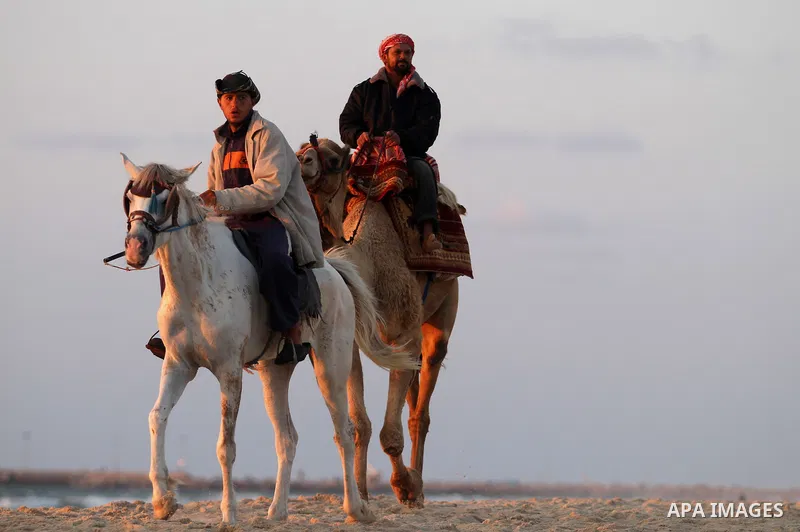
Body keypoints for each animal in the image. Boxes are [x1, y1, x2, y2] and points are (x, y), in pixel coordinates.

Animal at [295, 137, 468, 507]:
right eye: (301, 150)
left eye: (334, 160)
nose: (303, 161)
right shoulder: (354, 344)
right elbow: (360, 424)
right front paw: (360, 493)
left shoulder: (403, 333)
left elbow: (391, 433)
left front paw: (404, 486)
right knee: (413, 397)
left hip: (444, 307)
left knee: (420, 408)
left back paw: (417, 486)